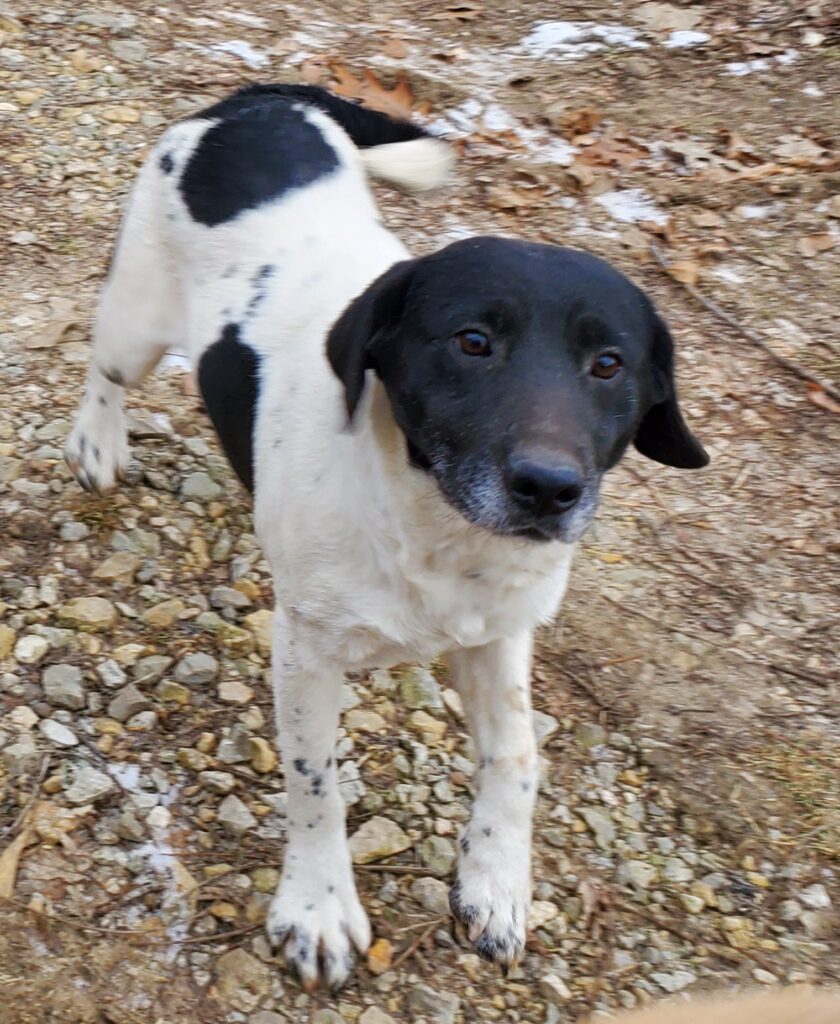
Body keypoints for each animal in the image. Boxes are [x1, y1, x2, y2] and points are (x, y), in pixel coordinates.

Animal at [67, 86, 708, 991]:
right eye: (473, 341)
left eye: (609, 364)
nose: (550, 490)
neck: (436, 529)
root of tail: (263, 98)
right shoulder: (306, 650)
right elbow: (316, 783)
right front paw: (319, 906)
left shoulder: (499, 635)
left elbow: (519, 757)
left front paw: (497, 880)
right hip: (136, 322)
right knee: (105, 369)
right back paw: (97, 441)